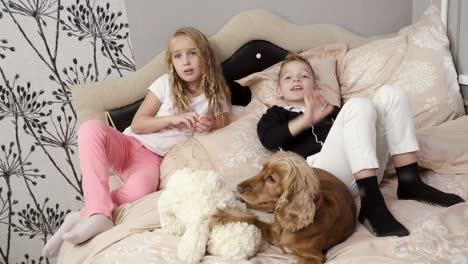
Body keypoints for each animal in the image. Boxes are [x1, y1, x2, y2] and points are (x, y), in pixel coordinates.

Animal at [215, 151, 354, 264]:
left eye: (271, 179)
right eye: (262, 169)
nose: (238, 187)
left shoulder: (313, 257)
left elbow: (254, 219)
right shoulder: (275, 232)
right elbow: (253, 219)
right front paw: (228, 215)